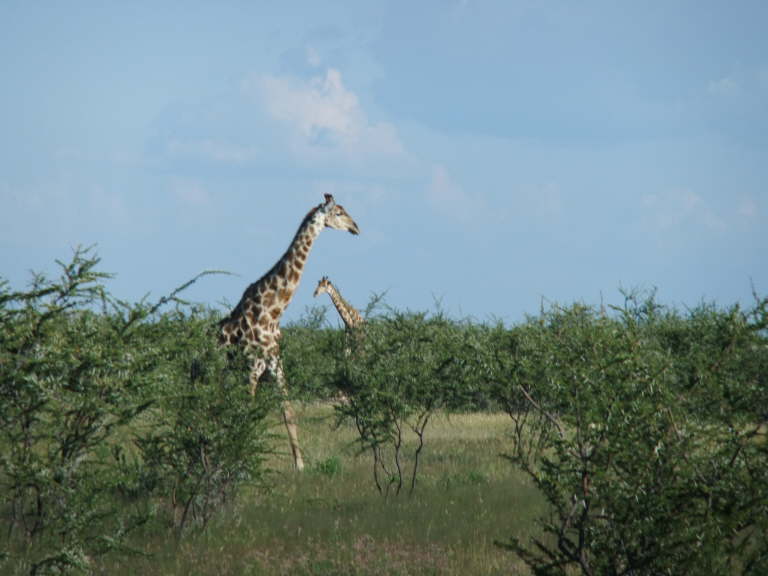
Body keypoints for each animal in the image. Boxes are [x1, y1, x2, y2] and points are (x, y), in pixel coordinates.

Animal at [219, 194, 360, 471]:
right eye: (339, 212)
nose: (356, 227)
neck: (272, 311)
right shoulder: (252, 366)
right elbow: (246, 412)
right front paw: (240, 462)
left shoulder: (276, 363)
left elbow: (289, 413)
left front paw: (300, 465)